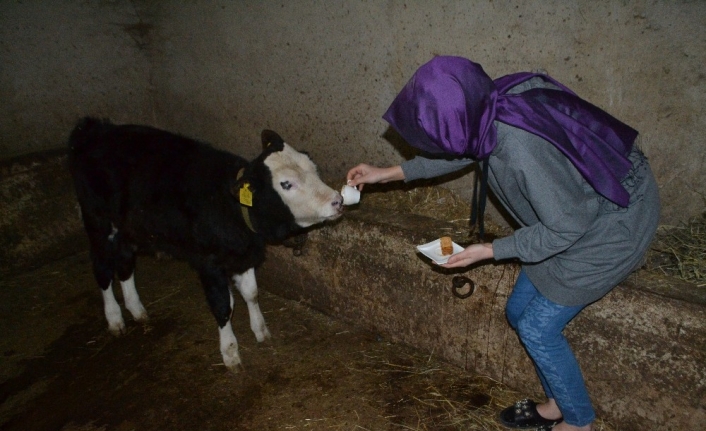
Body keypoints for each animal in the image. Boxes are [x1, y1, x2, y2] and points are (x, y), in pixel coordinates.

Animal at [67, 118, 342, 372]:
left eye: (313, 166)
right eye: (286, 184)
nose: (337, 200)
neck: (231, 207)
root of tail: (95, 128)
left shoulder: (243, 255)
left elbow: (251, 293)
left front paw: (261, 330)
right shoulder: (209, 264)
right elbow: (223, 307)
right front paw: (230, 353)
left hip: (127, 229)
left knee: (125, 265)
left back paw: (137, 309)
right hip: (98, 223)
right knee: (102, 269)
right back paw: (114, 318)